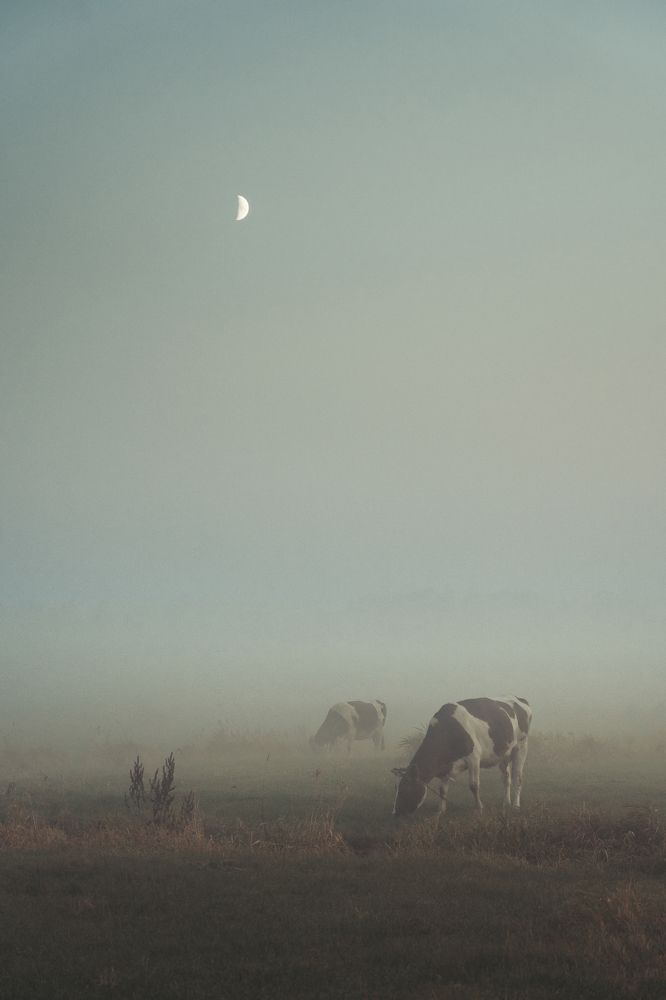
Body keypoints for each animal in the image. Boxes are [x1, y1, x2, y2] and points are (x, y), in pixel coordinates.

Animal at [392, 696, 531, 817]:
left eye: (405, 788)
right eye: (395, 788)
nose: (395, 813)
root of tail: (519, 698)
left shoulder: (474, 758)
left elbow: (474, 786)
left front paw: (479, 808)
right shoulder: (445, 765)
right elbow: (442, 789)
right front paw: (440, 810)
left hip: (521, 746)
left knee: (517, 777)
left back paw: (516, 805)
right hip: (504, 753)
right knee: (506, 777)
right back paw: (506, 802)